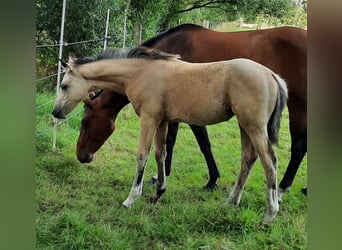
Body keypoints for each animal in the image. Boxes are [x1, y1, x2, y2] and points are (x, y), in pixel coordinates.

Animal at [52, 47, 288, 223]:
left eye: (63, 85)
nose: (55, 112)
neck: (139, 73)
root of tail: (272, 75)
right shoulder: (162, 120)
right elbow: (161, 154)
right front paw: (158, 193)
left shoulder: (148, 118)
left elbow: (142, 155)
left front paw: (131, 199)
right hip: (244, 125)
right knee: (248, 160)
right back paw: (231, 202)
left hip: (254, 127)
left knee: (270, 161)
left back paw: (270, 214)